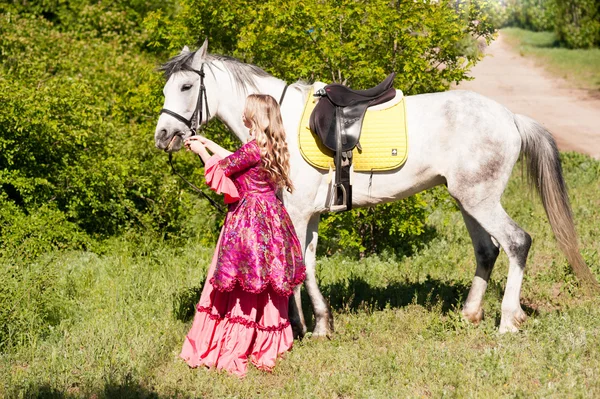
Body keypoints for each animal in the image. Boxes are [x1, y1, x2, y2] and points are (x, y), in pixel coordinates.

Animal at [156, 42, 600, 338]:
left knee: (517, 242)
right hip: (467, 200)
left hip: (481, 200)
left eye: (185, 88)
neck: (277, 124)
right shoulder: (311, 215)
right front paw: (321, 324)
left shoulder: (298, 212)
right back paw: (470, 314)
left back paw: (508, 320)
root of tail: (510, 117)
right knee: (487, 250)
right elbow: (309, 265)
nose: (164, 136)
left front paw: (296, 327)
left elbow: (296, 267)